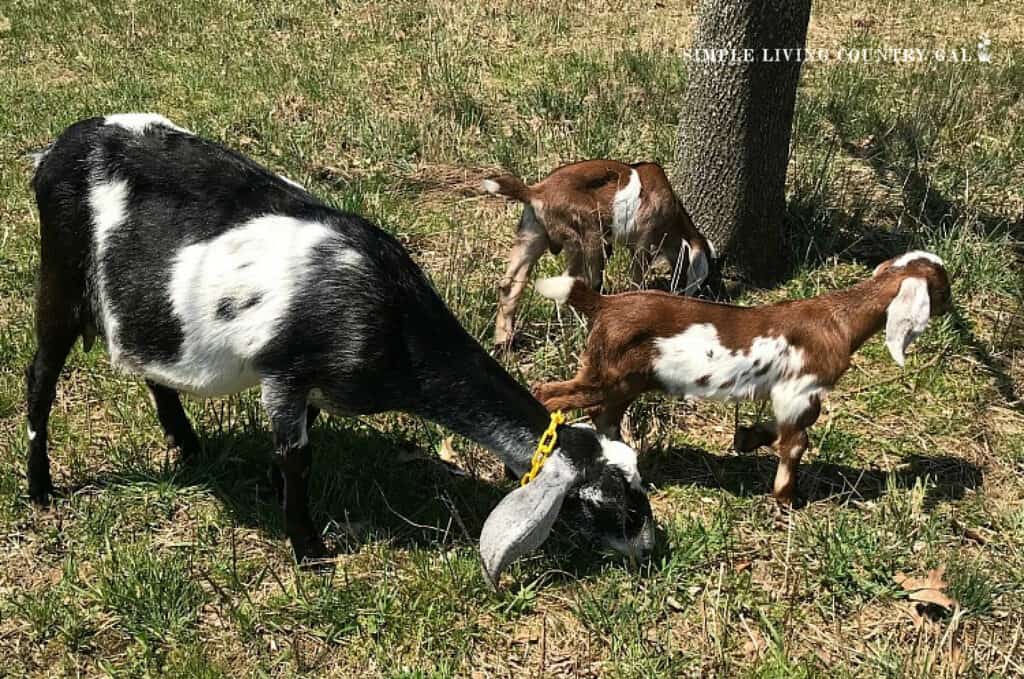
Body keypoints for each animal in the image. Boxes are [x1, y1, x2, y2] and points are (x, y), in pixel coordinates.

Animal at [25, 114, 655, 587]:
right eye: (615, 502)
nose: (652, 547)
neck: (393, 320)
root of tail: (57, 148)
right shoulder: (285, 371)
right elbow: (297, 456)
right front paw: (309, 550)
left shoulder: (311, 387)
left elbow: (303, 441)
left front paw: (273, 494)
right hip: (61, 275)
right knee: (40, 378)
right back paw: (40, 490)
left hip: (144, 307)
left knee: (150, 365)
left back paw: (187, 445)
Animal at [482, 159, 714, 347]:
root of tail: (535, 191)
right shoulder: (643, 243)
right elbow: (636, 281)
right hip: (587, 234)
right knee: (575, 281)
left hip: (532, 236)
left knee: (510, 284)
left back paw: (503, 341)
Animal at [533, 252, 952, 504]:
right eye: (942, 288)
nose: (951, 306)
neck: (840, 320)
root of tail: (604, 303)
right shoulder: (800, 389)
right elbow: (797, 442)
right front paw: (786, 497)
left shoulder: (789, 394)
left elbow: (782, 431)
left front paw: (748, 438)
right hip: (607, 374)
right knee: (549, 394)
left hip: (625, 380)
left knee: (605, 415)